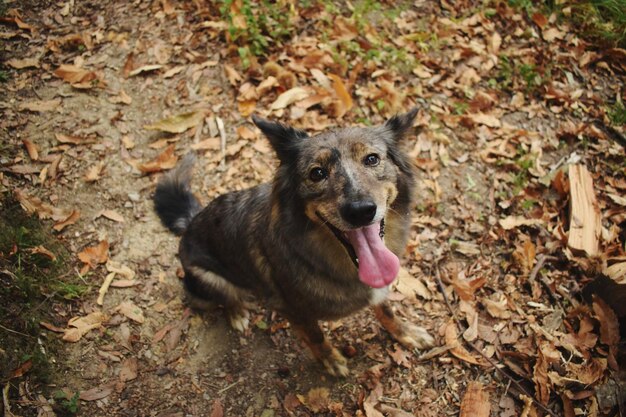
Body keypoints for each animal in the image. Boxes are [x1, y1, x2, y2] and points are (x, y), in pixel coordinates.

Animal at [154, 109, 432, 376]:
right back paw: (237, 313)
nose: (360, 211)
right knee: (225, 298)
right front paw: (331, 361)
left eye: (372, 159)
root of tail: (190, 222)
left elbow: (387, 310)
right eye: (317, 173)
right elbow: (316, 337)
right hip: (208, 278)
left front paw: (406, 332)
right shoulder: (294, 311)